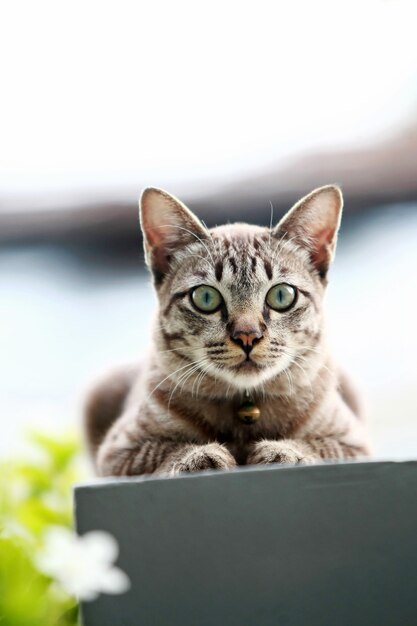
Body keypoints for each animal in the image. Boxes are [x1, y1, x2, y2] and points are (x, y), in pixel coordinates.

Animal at [83, 183, 368, 476]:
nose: (247, 336)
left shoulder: (352, 443)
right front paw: (200, 456)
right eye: (205, 298)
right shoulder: (120, 451)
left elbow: (315, 447)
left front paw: (281, 451)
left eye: (282, 295)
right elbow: (165, 451)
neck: (245, 410)